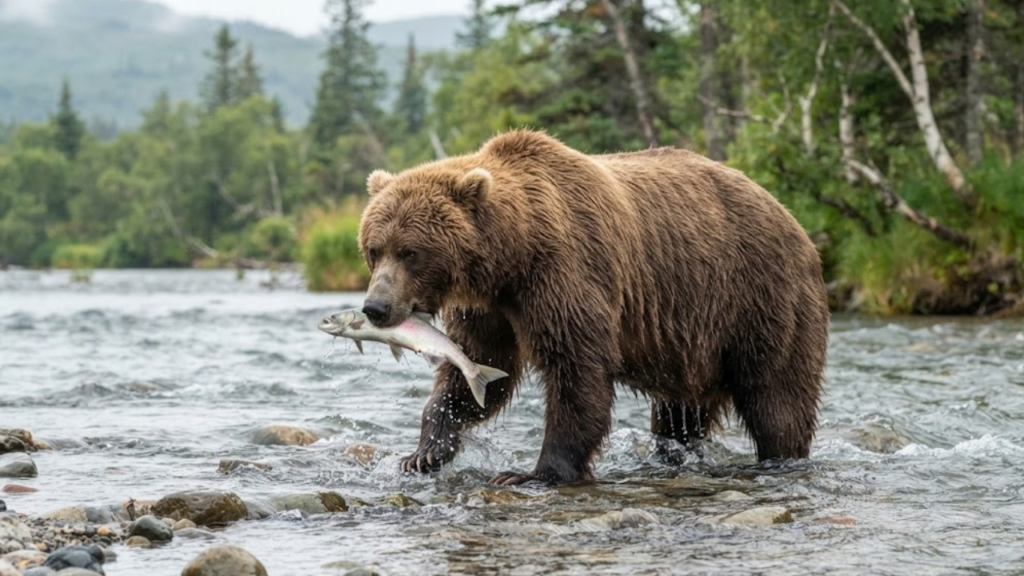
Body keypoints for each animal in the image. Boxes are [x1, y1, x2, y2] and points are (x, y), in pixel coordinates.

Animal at [357, 130, 829, 486]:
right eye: (373, 250)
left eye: (411, 252)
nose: (375, 307)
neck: (512, 257)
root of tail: (795, 221)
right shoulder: (490, 309)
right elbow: (477, 370)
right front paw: (423, 453)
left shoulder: (565, 273)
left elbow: (577, 370)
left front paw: (534, 473)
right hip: (694, 339)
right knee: (679, 415)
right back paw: (669, 457)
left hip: (760, 299)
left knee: (777, 398)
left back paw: (781, 457)